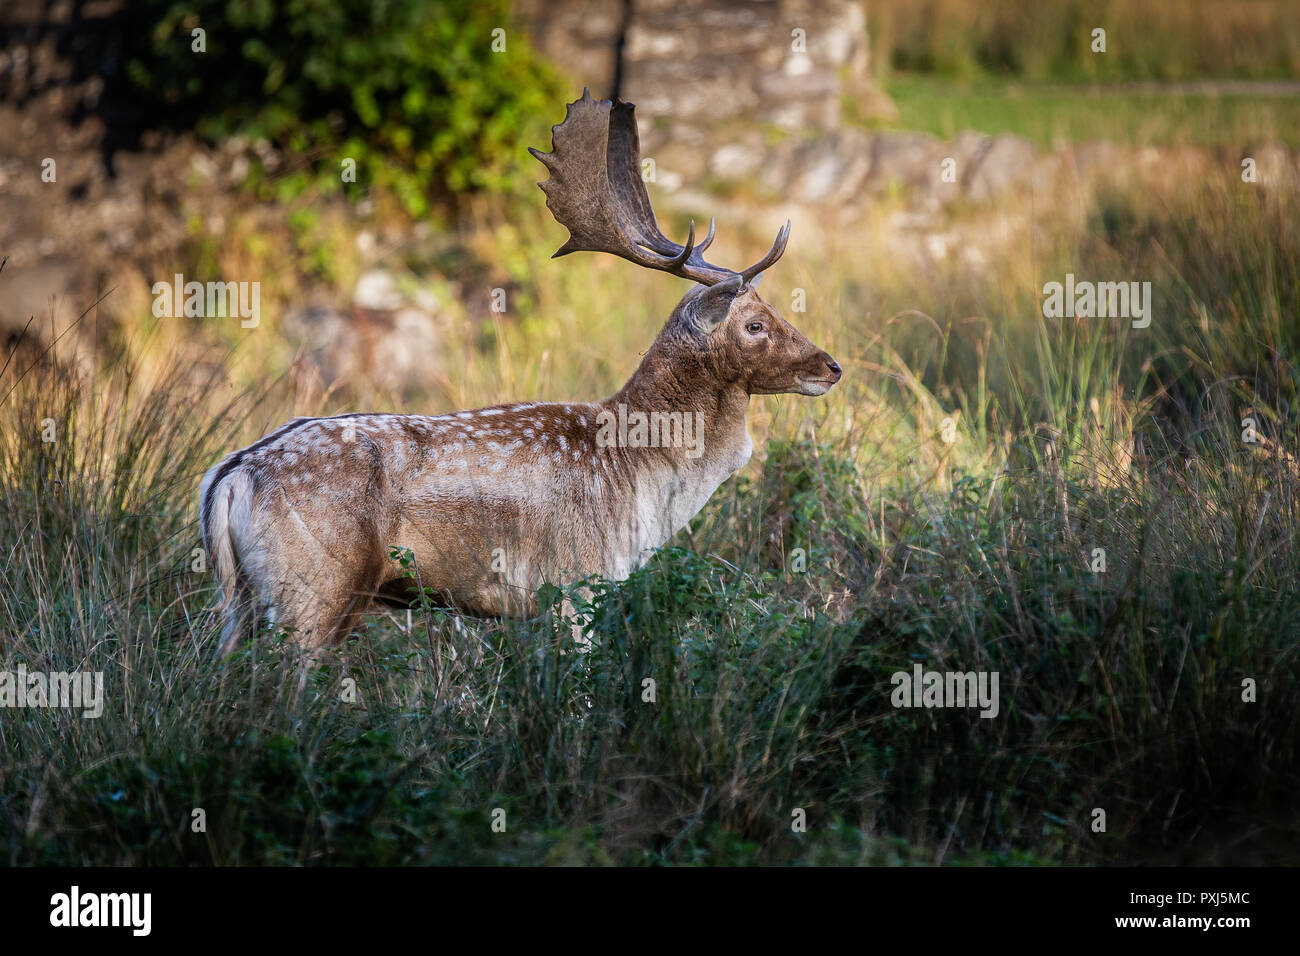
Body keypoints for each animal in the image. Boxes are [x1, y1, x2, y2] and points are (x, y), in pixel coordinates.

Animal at [200, 89, 841, 657]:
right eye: (754, 324)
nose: (830, 366)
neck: (641, 476)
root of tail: (231, 478)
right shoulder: (578, 581)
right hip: (316, 590)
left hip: (244, 604)